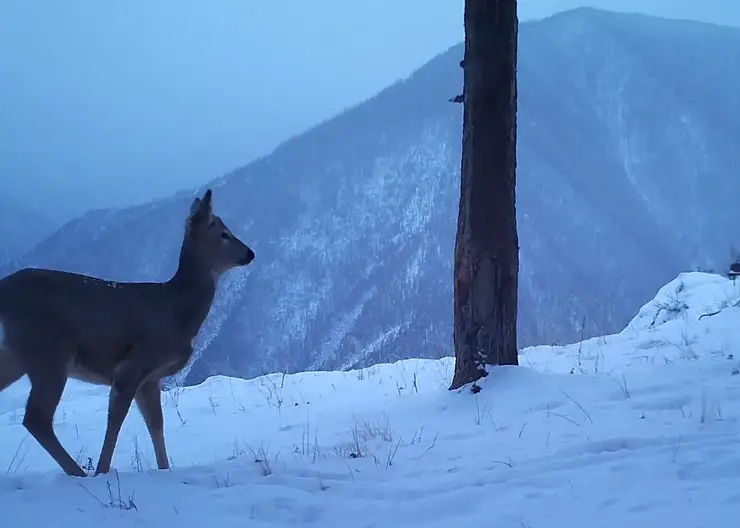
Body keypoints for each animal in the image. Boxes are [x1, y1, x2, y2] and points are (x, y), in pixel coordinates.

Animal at [0, 188, 254, 476]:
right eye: (224, 233)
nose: (250, 253)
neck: (175, 311)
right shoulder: (133, 365)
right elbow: (116, 420)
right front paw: (102, 471)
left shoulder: (151, 379)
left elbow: (156, 424)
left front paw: (164, 470)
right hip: (48, 350)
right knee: (37, 417)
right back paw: (79, 473)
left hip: (16, 355)